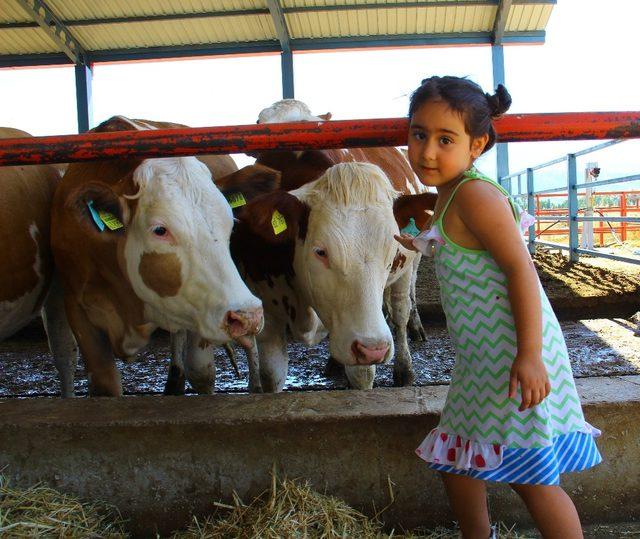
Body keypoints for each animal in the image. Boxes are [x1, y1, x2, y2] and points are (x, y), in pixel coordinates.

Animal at [51, 118, 264, 396]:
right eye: (160, 230)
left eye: (230, 223)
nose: (247, 315)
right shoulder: (77, 307)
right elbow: (106, 384)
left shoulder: (204, 308)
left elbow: (202, 372)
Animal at [224, 99, 436, 390]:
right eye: (321, 252)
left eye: (390, 252)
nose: (376, 348)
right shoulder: (268, 316)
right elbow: (271, 377)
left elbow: (363, 376)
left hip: (407, 269)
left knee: (402, 310)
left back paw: (405, 365)